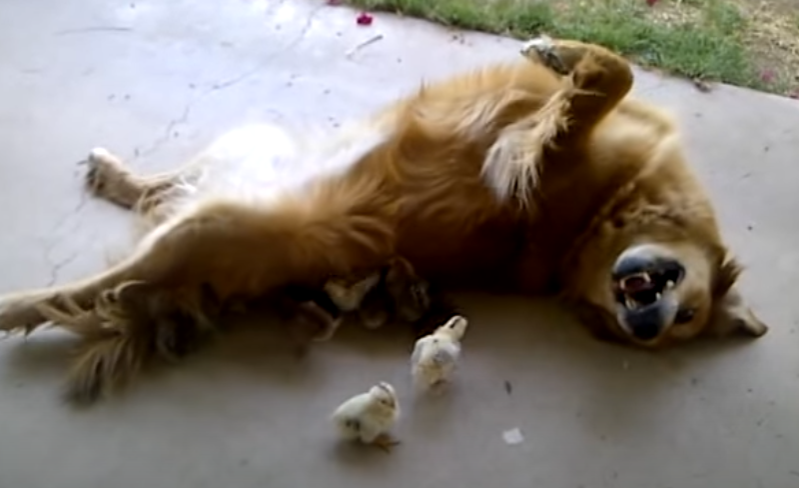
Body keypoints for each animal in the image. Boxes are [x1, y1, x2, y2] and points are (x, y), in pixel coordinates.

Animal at [0, 37, 768, 404]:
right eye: (687, 311)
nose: (647, 327)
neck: (607, 211)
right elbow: (610, 78)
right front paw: (562, 55)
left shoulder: (532, 167)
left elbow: (601, 87)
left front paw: (564, 60)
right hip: (247, 146)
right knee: (157, 193)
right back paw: (115, 174)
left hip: (205, 227)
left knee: (84, 293)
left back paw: (14, 304)